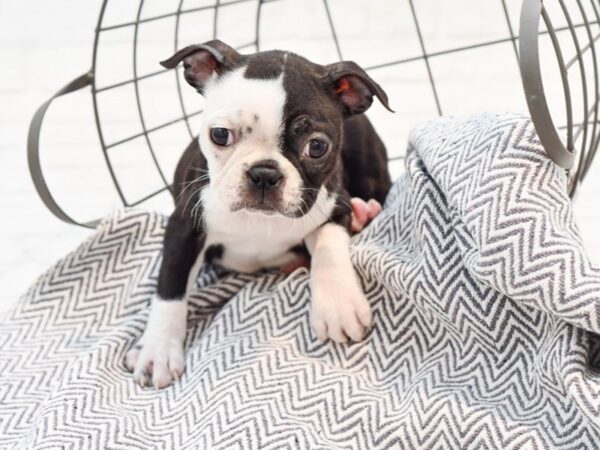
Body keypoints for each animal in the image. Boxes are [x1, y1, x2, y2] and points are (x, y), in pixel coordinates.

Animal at [124, 40, 392, 388]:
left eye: (317, 147)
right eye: (220, 135)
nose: (264, 174)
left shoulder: (335, 204)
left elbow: (329, 248)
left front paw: (338, 305)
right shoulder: (185, 225)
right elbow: (171, 285)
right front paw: (157, 351)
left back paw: (364, 213)